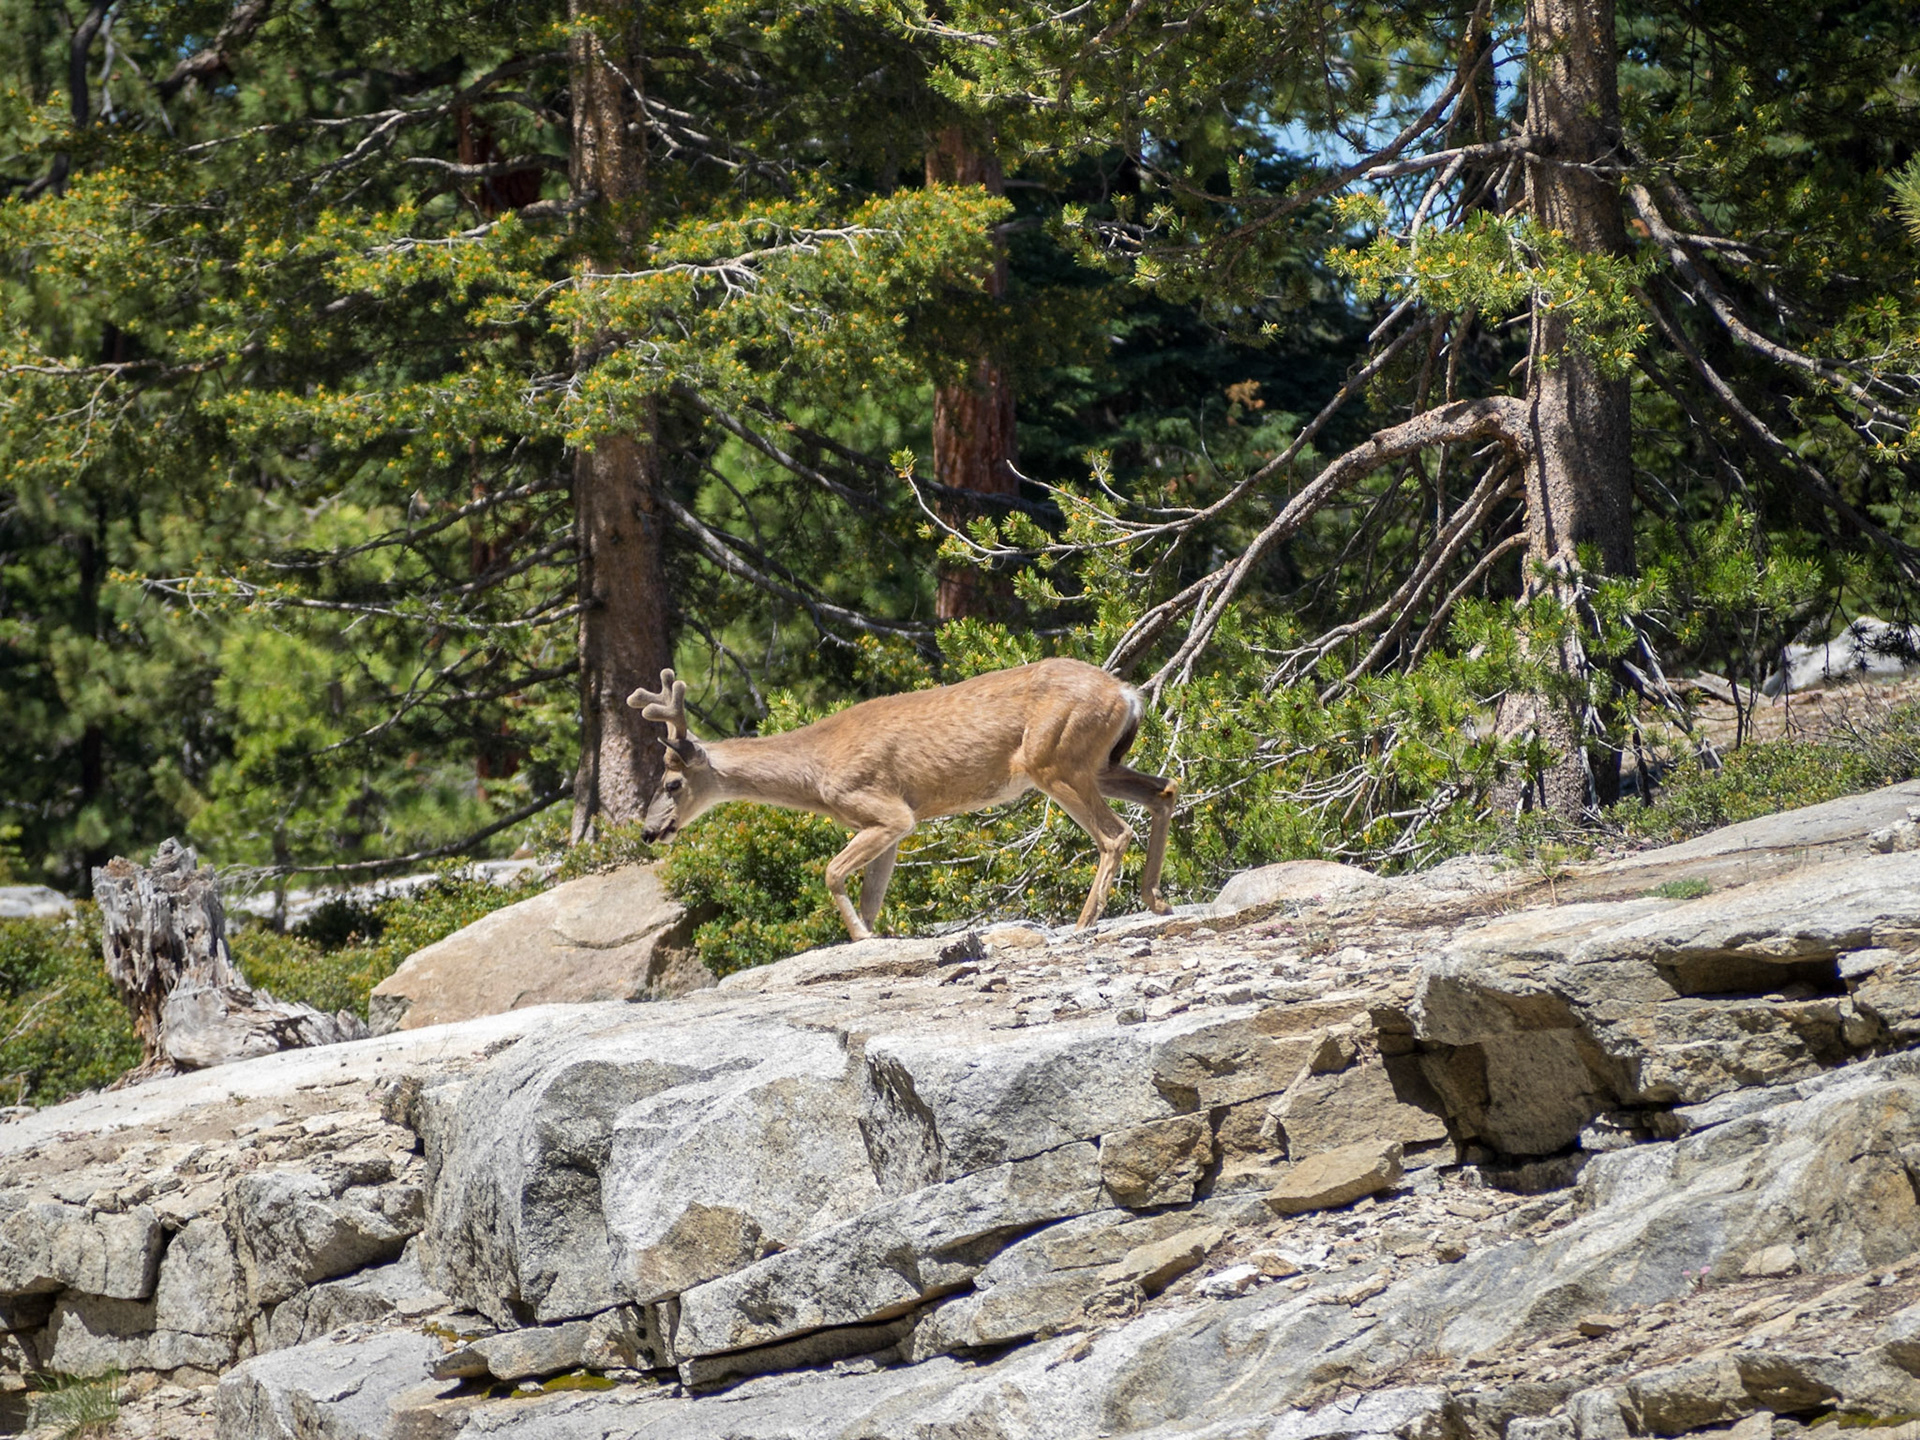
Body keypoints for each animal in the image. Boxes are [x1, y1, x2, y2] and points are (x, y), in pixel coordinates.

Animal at [627, 658, 1178, 942]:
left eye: (672, 783)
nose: (649, 831)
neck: (816, 770)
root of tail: (1128, 694)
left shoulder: (886, 809)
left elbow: (830, 872)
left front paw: (861, 940)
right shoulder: (889, 828)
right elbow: (871, 897)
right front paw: (869, 937)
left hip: (1054, 759)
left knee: (1115, 833)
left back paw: (1086, 922)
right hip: (1098, 762)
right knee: (1165, 791)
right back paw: (1157, 900)